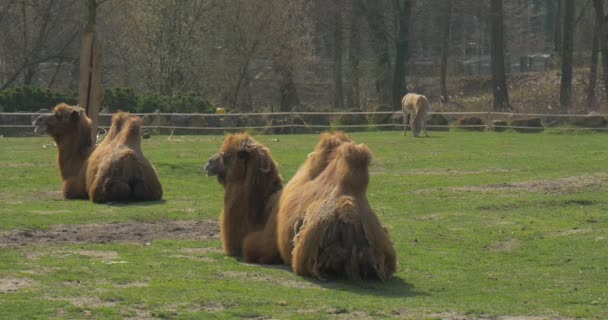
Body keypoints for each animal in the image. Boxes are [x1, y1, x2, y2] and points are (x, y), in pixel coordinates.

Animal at [34, 103, 163, 202]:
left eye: (59, 115)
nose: (37, 119)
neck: (79, 158)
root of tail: (130, 158)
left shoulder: (71, 187)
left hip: (103, 187)